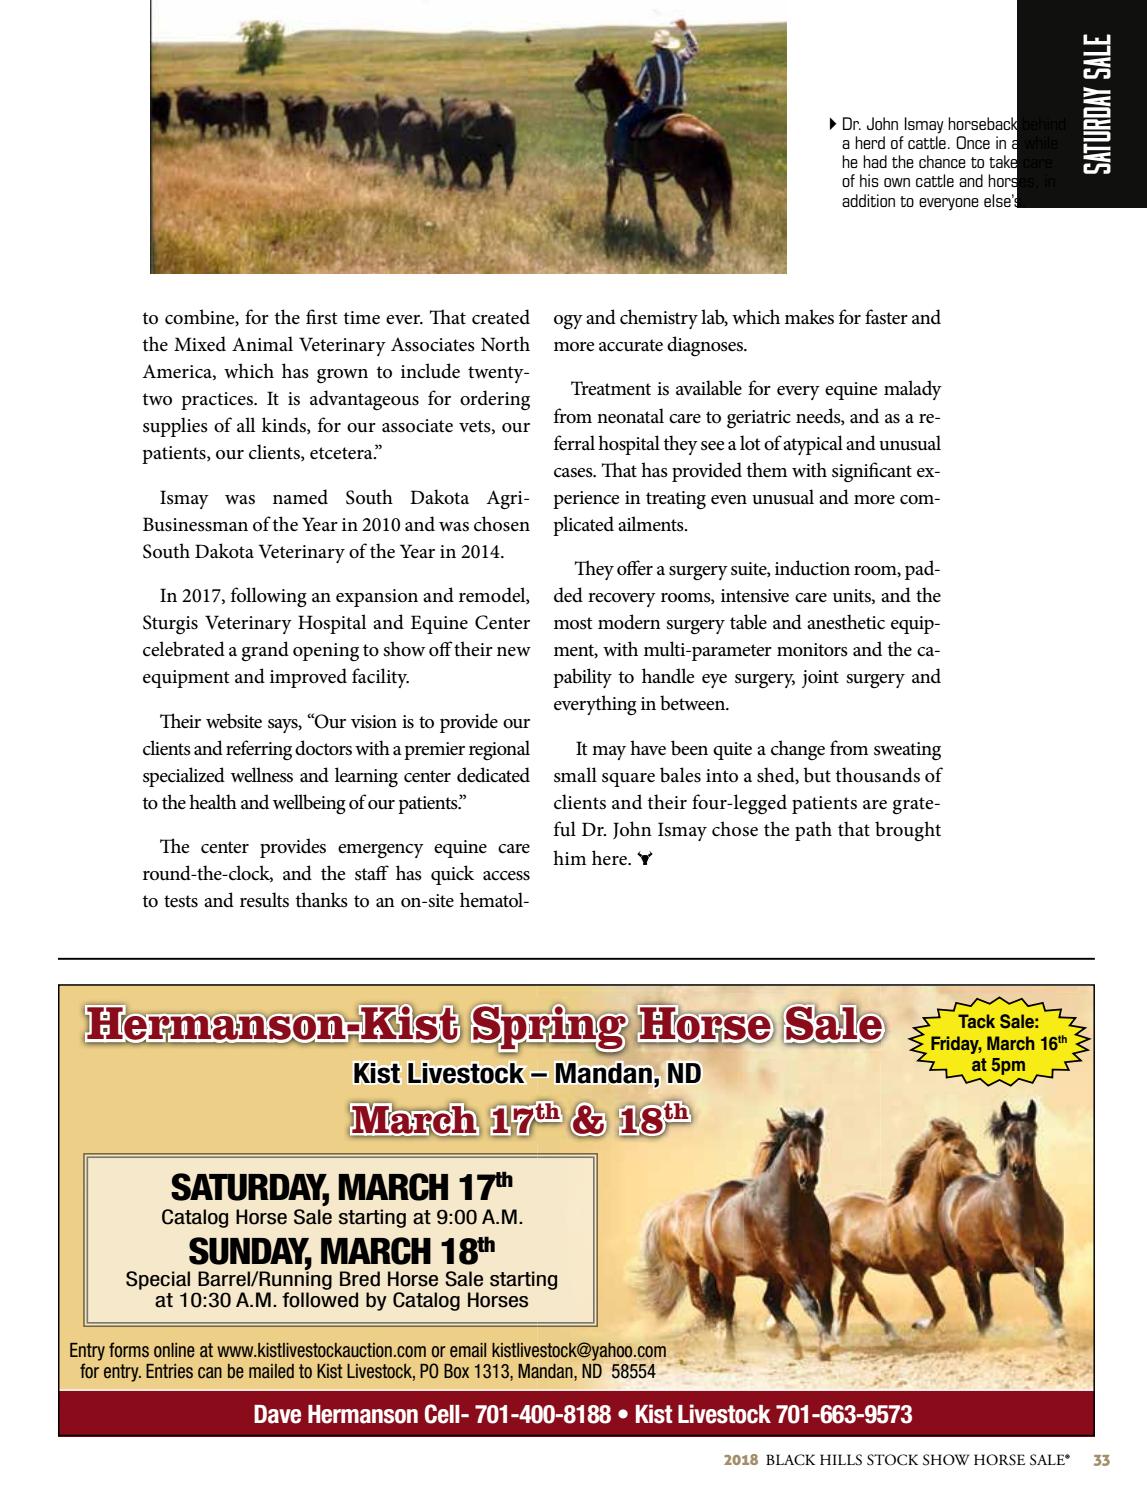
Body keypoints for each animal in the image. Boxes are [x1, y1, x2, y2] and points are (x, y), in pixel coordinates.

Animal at [573, 51, 733, 256]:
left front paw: (609, 218)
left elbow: (614, 193)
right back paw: (708, 243)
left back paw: (701, 240)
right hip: (709, 183)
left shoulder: (615, 165)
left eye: (589, 68)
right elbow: (650, 200)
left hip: (690, 184)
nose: (577, 84)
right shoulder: (647, 173)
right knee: (714, 207)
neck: (621, 109)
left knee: (705, 212)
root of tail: (710, 135)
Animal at [702, 1109, 834, 1359]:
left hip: (772, 1273)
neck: (795, 1209)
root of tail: (715, 1200)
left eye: (818, 1142)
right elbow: (809, 1301)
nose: (807, 1179)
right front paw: (829, 1344)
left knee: (770, 1300)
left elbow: (826, 1306)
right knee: (729, 1305)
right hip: (726, 1270)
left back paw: (794, 1343)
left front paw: (826, 1347)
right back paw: (730, 1350)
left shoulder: (821, 1262)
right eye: (792, 1143)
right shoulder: (786, 1261)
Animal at [826, 1118, 986, 1341]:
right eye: (956, 1150)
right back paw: (892, 1335)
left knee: (845, 1295)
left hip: (860, 1263)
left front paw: (984, 1334)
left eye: (974, 1148)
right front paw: (919, 1326)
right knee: (865, 1298)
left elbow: (973, 1297)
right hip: (844, 1261)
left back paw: (839, 1336)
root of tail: (827, 1209)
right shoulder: (916, 1270)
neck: (920, 1216)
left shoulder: (961, 1263)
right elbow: (939, 1308)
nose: (982, 1175)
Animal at [938, 1101, 1066, 1342]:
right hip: (961, 1261)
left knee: (985, 1293)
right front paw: (1058, 1331)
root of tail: (953, 1188)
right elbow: (1041, 1289)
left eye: (1032, 1133)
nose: (1019, 1168)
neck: (1030, 1210)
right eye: (1007, 1135)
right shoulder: (1020, 1256)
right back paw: (983, 1338)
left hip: (985, 1260)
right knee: (973, 1297)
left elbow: (1054, 1296)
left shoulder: (1055, 1259)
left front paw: (1061, 1336)